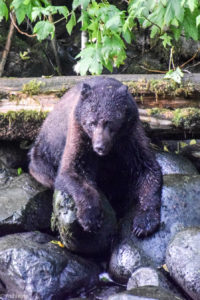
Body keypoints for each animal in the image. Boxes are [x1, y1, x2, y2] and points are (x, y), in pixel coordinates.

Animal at [28, 77, 162, 237]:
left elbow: (147, 170)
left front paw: (143, 223)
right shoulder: (79, 133)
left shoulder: (129, 135)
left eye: (109, 122)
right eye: (91, 123)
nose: (99, 146)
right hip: (42, 157)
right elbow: (73, 170)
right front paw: (90, 217)